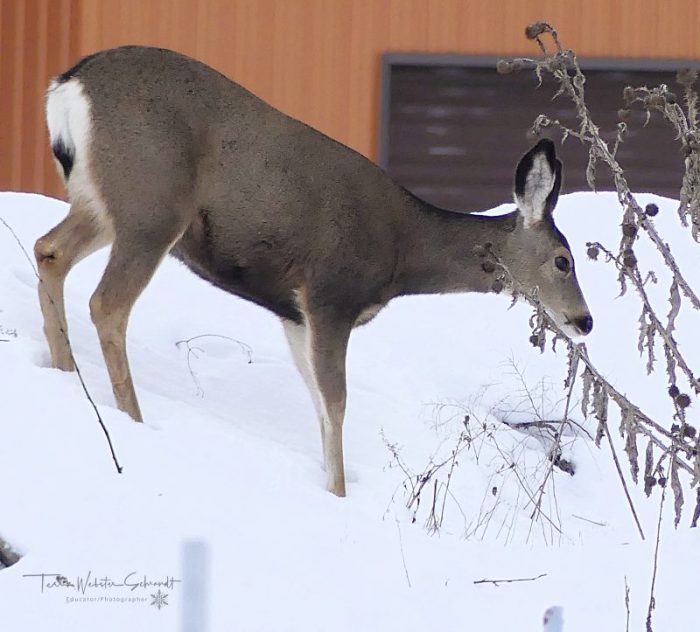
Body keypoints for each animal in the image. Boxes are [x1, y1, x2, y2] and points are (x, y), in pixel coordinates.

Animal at [37, 46, 592, 497]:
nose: (585, 321)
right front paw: (340, 496)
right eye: (563, 260)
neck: (402, 252)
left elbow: (319, 408)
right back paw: (131, 417)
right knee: (108, 302)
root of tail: (67, 84)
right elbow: (338, 403)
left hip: (100, 202)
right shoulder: (331, 294)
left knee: (49, 251)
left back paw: (63, 370)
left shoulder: (294, 312)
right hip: (152, 202)